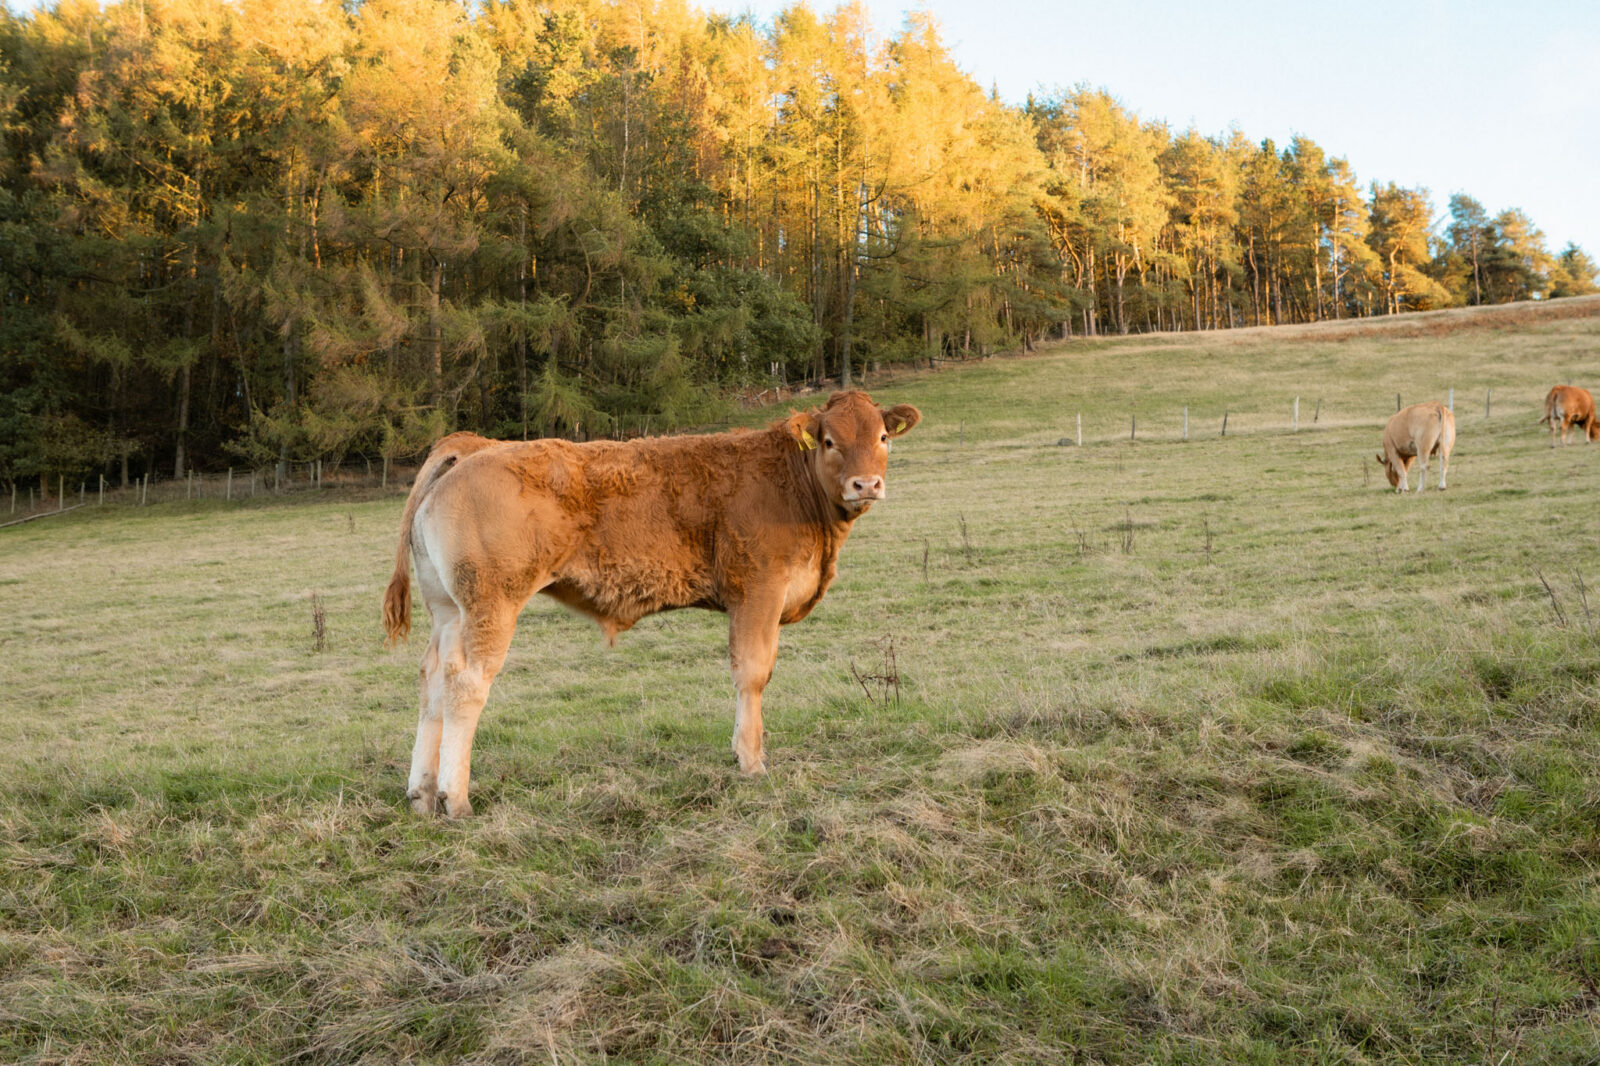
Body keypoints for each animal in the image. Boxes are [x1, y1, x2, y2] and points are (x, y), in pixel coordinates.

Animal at [381, 390, 922, 816]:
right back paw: (455, 798)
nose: (866, 485)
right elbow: (752, 673)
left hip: (449, 611)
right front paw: (751, 762)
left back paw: (421, 795)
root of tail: (477, 447)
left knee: (433, 680)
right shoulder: (758, 590)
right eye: (829, 441)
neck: (793, 486)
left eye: (883, 438)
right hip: (491, 604)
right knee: (466, 684)